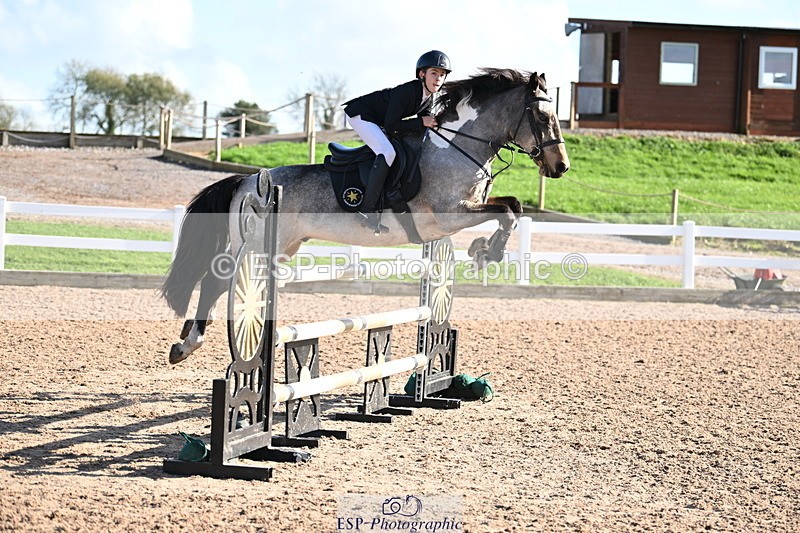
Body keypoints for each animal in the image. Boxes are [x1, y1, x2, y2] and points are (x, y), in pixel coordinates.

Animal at [162, 68, 570, 364]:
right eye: (540, 115)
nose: (561, 167)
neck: (455, 147)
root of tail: (248, 180)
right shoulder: (449, 217)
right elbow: (507, 211)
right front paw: (487, 252)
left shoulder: (462, 212)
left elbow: (513, 207)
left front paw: (485, 251)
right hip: (262, 246)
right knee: (218, 282)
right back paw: (187, 345)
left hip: (284, 247)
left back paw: (187, 336)